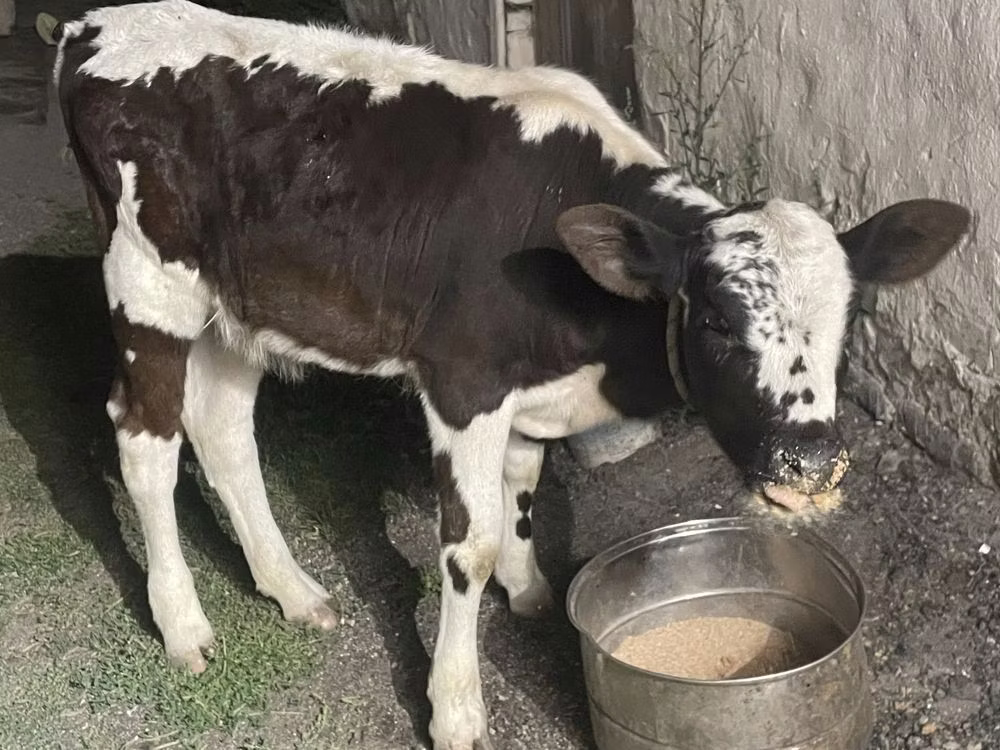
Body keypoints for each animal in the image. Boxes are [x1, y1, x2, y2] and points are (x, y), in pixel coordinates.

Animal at [53, 2, 969, 747]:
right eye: (715, 320)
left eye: (849, 321)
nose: (809, 466)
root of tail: (99, 24)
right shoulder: (464, 383)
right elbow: (471, 543)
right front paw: (456, 709)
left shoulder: (529, 394)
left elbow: (523, 484)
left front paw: (529, 592)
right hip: (148, 281)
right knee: (145, 439)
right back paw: (184, 626)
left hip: (240, 307)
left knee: (222, 430)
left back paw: (294, 590)